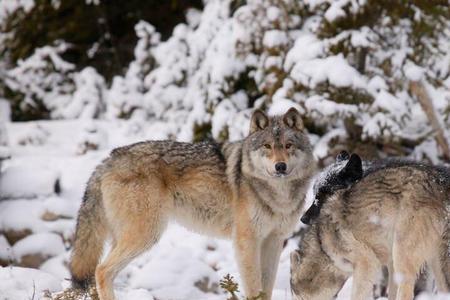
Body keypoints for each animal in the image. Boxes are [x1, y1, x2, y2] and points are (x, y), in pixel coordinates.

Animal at [70, 108, 316, 300]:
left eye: (288, 145)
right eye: (267, 146)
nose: (280, 167)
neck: (277, 195)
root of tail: (108, 159)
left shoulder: (274, 240)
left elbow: (267, 288)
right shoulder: (247, 241)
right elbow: (254, 289)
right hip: (146, 235)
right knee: (101, 270)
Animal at [290, 158, 448, 298]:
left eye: (295, 296)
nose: (302, 219)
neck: (322, 243)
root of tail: (442, 185)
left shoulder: (367, 263)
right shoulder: (388, 264)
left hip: (402, 255)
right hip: (435, 264)